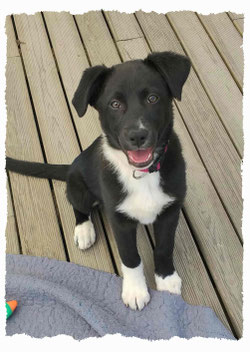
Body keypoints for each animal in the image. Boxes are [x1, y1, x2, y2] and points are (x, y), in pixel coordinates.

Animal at [5, 51, 190, 310]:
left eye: (153, 98)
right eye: (115, 104)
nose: (137, 136)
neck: (141, 175)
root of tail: (71, 167)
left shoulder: (169, 212)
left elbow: (164, 247)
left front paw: (166, 279)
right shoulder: (119, 221)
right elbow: (130, 257)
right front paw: (135, 291)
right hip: (79, 187)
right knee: (78, 207)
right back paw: (84, 231)